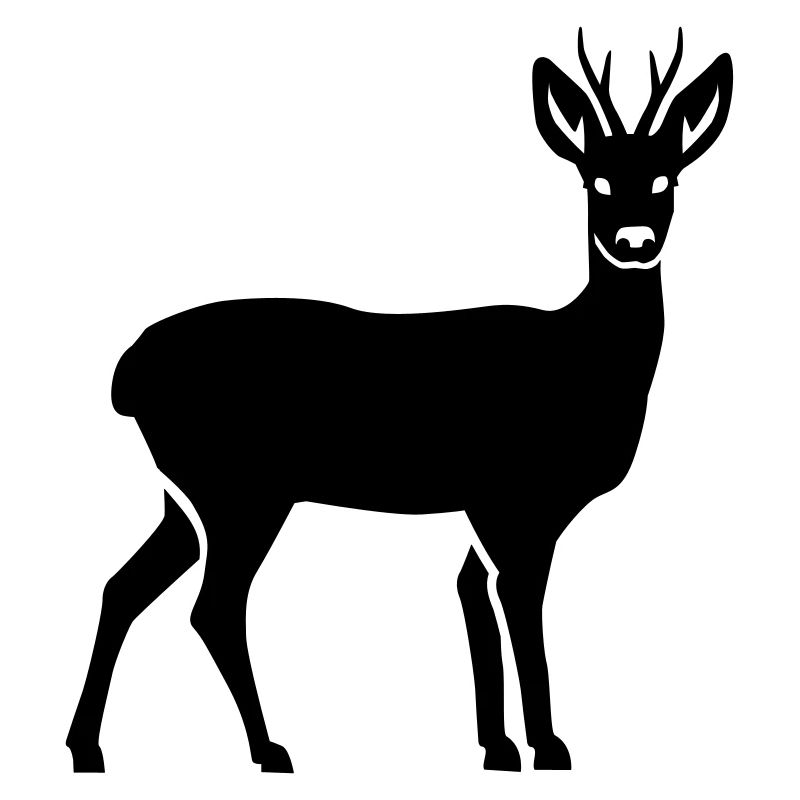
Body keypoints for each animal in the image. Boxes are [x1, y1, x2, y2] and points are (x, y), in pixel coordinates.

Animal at [67, 30, 732, 774]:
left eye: (668, 179)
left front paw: (498, 747)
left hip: (186, 496)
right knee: (212, 607)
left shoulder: (480, 508)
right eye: (596, 180)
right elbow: (518, 606)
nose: (633, 243)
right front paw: (550, 746)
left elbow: (471, 595)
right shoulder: (514, 500)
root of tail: (128, 372)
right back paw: (270, 748)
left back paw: (88, 747)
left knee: (123, 586)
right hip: (242, 491)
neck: (583, 362)